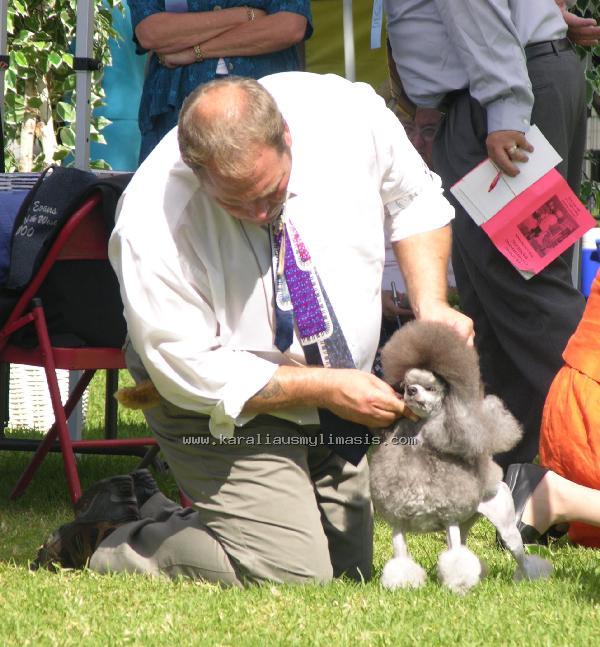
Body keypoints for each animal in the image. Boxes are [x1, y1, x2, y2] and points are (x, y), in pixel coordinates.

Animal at [369, 320, 552, 594]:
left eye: (430, 387)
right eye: (405, 385)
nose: (411, 391)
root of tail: (493, 480)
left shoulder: (450, 519)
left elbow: (456, 560)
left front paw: (459, 587)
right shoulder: (398, 523)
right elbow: (401, 560)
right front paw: (404, 586)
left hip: (506, 526)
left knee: (520, 555)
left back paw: (531, 577)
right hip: (467, 523)